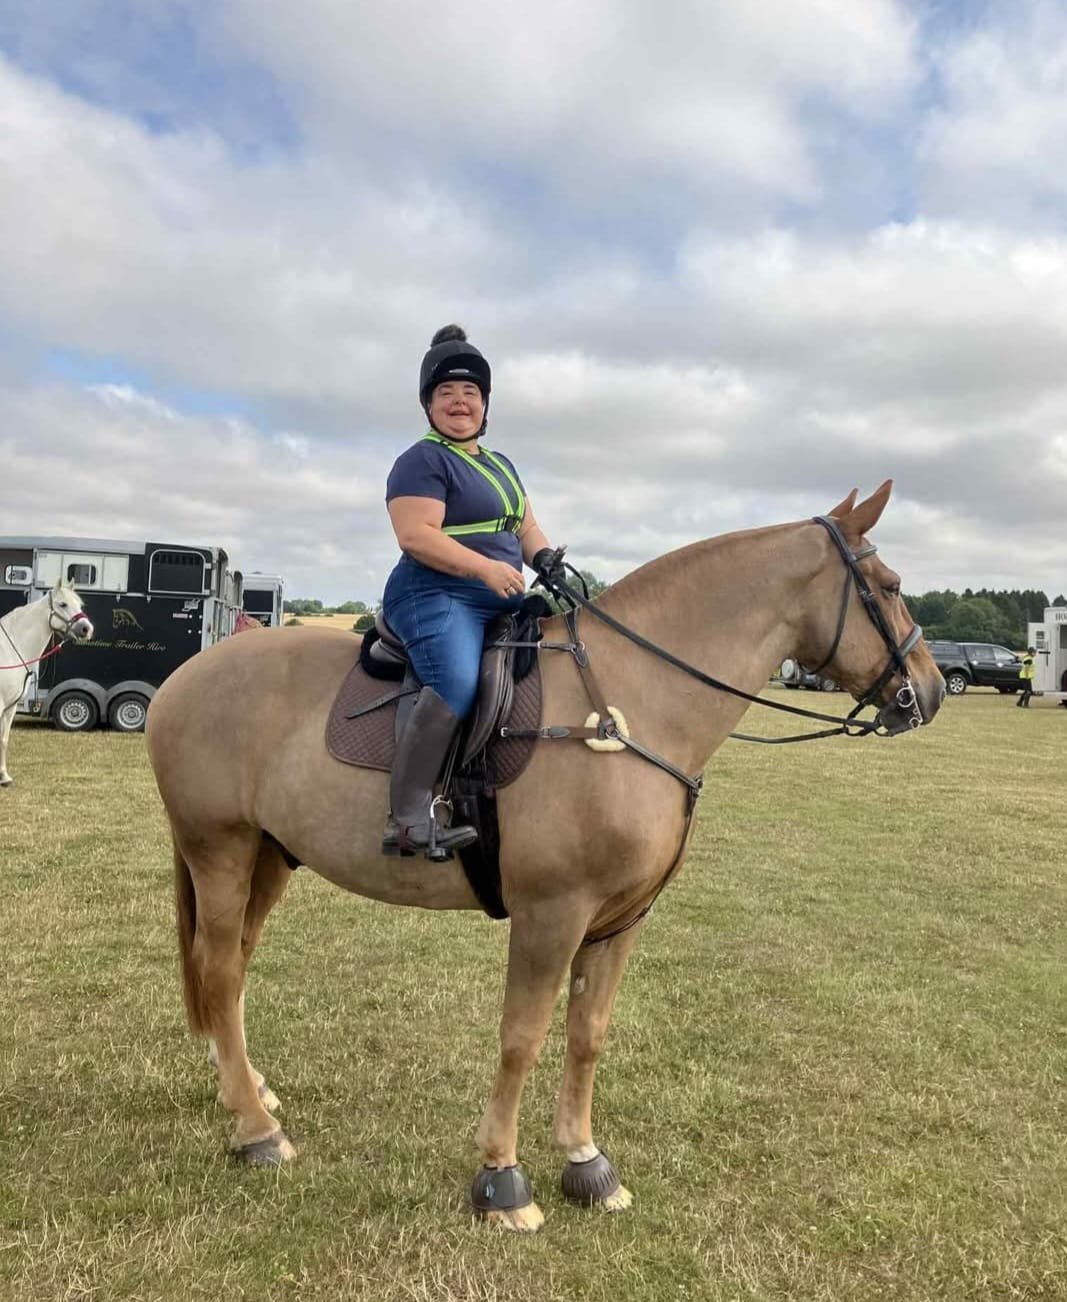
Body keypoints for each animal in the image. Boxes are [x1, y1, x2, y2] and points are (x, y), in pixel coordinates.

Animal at [0, 582, 94, 785]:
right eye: (63, 604)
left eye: (80, 604)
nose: (87, 629)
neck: (8, 650)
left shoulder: (10, 707)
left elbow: (3, 739)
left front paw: (4, 776)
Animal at [145, 482, 944, 1232]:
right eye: (891, 585)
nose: (931, 691)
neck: (631, 705)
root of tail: (188, 676)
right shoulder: (551, 915)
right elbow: (521, 1038)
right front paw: (501, 1179)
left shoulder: (618, 922)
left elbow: (587, 1035)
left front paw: (586, 1162)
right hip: (219, 849)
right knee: (219, 970)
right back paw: (257, 1131)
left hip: (268, 857)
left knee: (233, 968)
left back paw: (246, 1089)